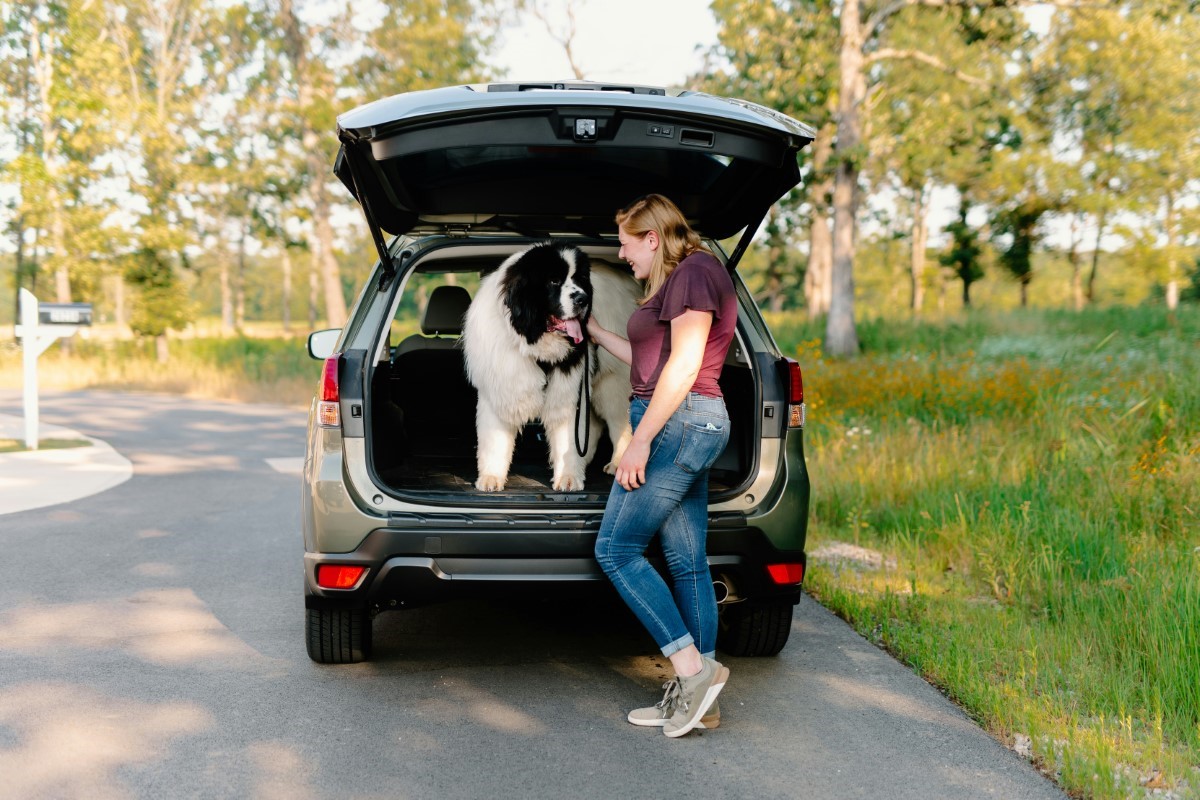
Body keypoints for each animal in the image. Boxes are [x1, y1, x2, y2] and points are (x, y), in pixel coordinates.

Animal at [463, 244, 643, 491]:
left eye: (580, 279)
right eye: (554, 281)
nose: (583, 299)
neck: (532, 343)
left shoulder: (568, 388)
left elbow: (567, 434)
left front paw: (567, 477)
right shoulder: (501, 386)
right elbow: (494, 439)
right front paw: (491, 477)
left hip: (612, 381)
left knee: (619, 422)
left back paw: (617, 462)